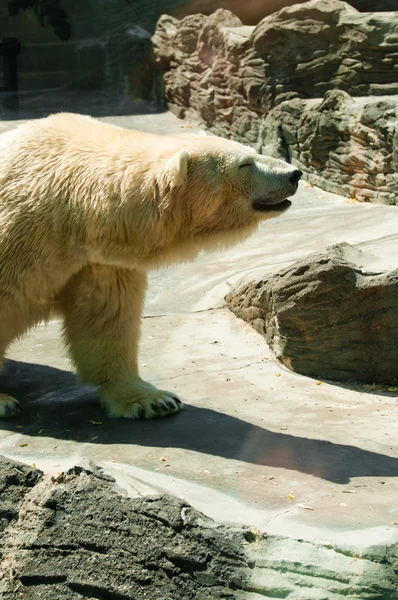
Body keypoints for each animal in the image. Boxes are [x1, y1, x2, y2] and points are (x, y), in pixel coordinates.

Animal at [0, 115, 300, 420]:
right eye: (244, 163)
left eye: (252, 151)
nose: (294, 174)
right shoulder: (18, 241)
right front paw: (4, 402)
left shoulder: (100, 261)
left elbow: (106, 315)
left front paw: (153, 400)